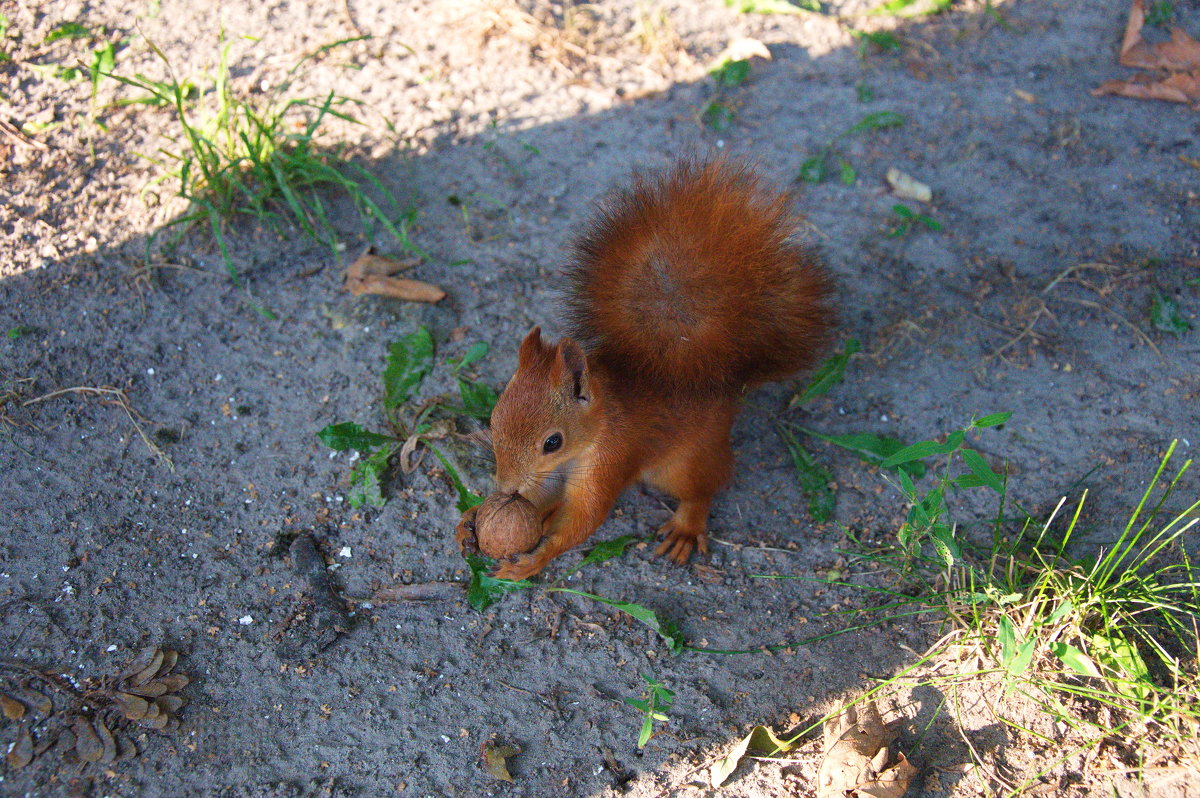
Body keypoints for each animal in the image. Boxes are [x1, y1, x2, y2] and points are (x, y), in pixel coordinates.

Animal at [458, 157, 835, 578]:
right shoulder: (554, 475)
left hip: (683, 463)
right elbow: (545, 497)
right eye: (494, 419)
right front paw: (471, 523)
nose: (506, 488)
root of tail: (723, 382)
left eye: (552, 442)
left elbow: (584, 519)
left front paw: (532, 561)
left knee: (706, 487)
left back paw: (687, 527)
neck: (598, 426)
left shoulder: (612, 458)